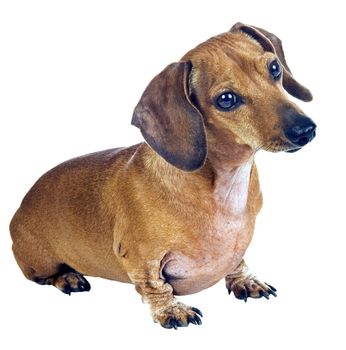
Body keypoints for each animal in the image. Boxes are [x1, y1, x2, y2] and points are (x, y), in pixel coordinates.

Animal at [10, 22, 316, 328]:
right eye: (226, 99)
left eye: (274, 68)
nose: (306, 130)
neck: (224, 184)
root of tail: (20, 207)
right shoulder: (138, 256)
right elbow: (154, 285)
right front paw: (172, 309)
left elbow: (237, 262)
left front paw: (245, 280)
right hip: (40, 260)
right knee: (43, 275)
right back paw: (68, 277)